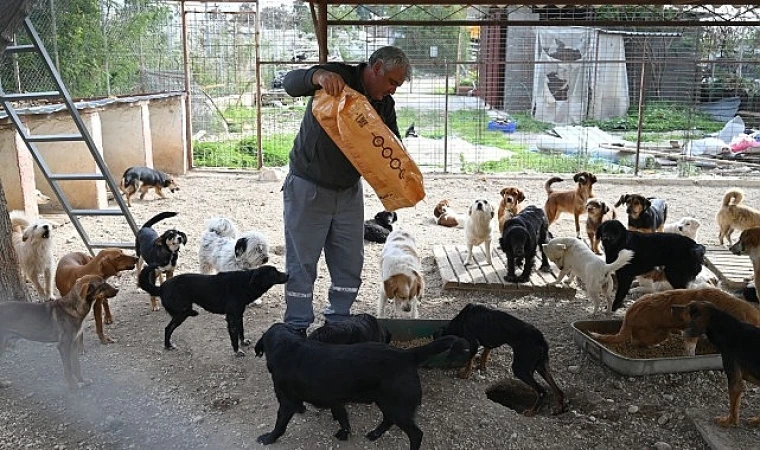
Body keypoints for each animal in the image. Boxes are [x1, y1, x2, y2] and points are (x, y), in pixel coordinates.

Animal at [138, 264, 290, 356]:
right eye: (273, 273)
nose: (288, 275)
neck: (245, 283)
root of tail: (162, 287)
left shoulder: (238, 315)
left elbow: (241, 331)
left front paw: (243, 342)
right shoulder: (231, 317)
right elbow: (234, 336)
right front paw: (237, 351)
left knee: (168, 328)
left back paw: (168, 344)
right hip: (181, 313)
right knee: (168, 328)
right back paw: (168, 345)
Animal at [255, 324, 470, 450]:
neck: (288, 345)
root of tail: (406, 355)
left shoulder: (286, 402)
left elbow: (280, 424)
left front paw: (269, 438)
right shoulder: (335, 400)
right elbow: (343, 418)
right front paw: (344, 433)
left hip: (397, 407)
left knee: (416, 434)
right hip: (388, 403)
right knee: (388, 421)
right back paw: (375, 434)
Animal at [434, 304, 564, 416]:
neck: (462, 319)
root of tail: (540, 338)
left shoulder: (474, 342)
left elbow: (470, 359)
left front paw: (465, 373)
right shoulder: (489, 343)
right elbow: (484, 355)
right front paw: (481, 367)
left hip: (520, 369)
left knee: (542, 391)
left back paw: (531, 412)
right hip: (541, 366)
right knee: (558, 390)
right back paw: (559, 408)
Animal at [676, 300, 760, 428]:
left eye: (688, 308)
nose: (672, 307)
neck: (729, 330)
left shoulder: (735, 381)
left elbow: (733, 407)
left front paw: (728, 421)